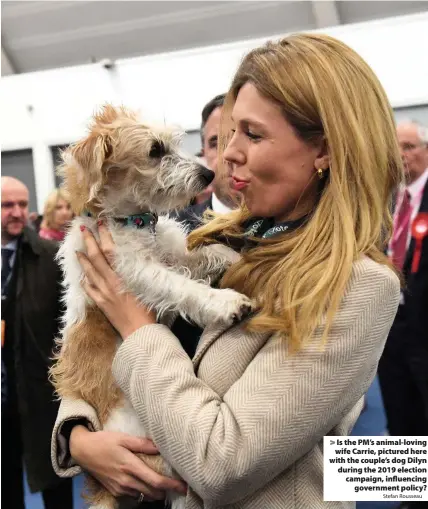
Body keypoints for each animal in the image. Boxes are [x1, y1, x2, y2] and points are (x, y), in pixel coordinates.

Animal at [50, 104, 252, 508]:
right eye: (155, 151)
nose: (208, 173)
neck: (135, 221)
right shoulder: (138, 272)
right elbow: (183, 286)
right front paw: (225, 302)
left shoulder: (175, 253)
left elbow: (209, 253)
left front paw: (239, 256)